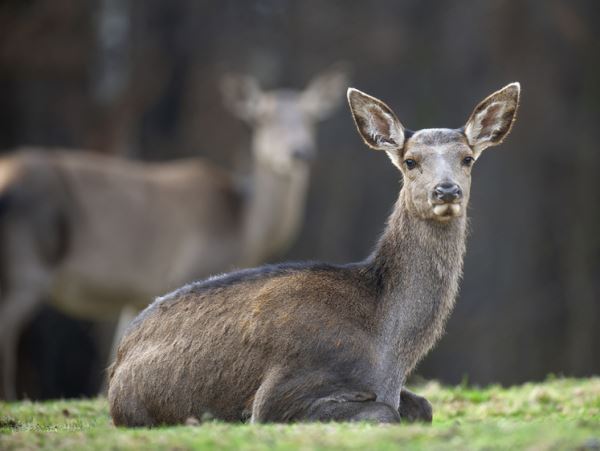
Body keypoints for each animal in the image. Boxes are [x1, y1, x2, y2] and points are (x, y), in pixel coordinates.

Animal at [0, 66, 350, 400]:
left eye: (312, 116)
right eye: (261, 117)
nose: (299, 152)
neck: (243, 229)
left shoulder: (139, 292)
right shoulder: (194, 267)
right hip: (26, 263)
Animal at [108, 82, 520, 428]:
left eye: (467, 158)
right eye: (410, 161)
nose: (446, 190)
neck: (389, 351)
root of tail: (118, 359)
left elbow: (424, 405)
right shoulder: (280, 391)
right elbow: (384, 412)